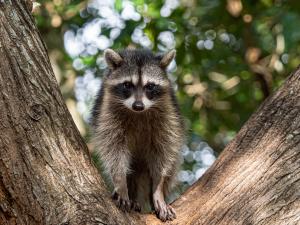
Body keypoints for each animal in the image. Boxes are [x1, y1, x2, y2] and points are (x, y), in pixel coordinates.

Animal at [91, 48, 185, 221]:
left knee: (172, 163)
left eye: (150, 86)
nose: (138, 105)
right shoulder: (107, 113)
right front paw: (121, 183)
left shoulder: (168, 116)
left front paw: (158, 189)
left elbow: (163, 153)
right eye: (127, 85)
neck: (138, 113)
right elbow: (114, 151)